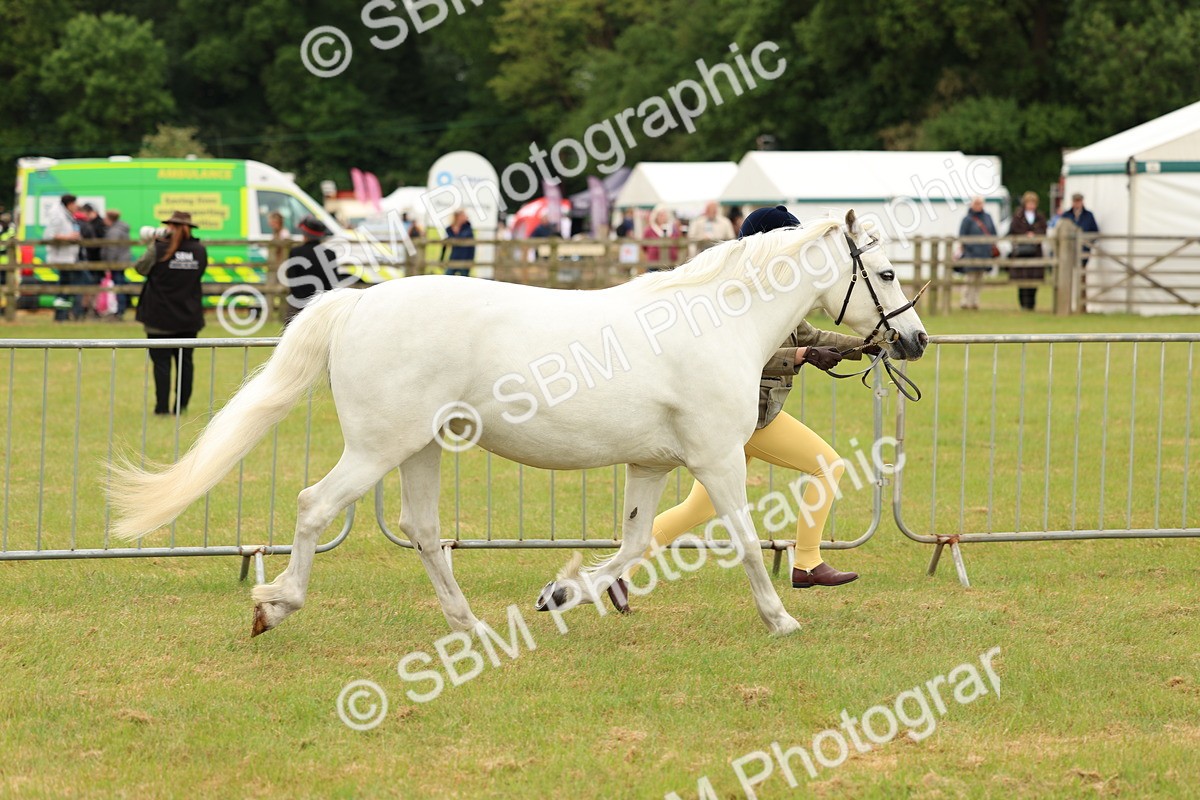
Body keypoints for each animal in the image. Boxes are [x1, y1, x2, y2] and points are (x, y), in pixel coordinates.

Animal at [108, 209, 926, 638]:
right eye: (886, 273)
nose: (914, 340)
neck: (712, 322)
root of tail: (361, 301)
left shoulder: (653, 466)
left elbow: (633, 545)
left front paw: (563, 594)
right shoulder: (719, 459)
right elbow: (750, 544)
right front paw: (781, 620)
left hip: (420, 449)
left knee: (423, 531)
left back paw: (469, 625)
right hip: (377, 448)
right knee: (314, 507)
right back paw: (275, 606)